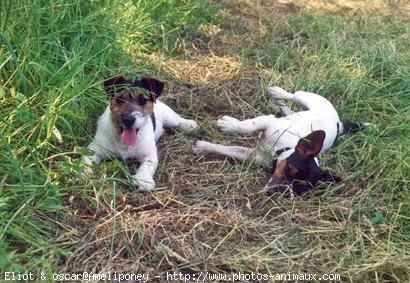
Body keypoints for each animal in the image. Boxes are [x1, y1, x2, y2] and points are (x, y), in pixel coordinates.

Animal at [195, 86, 362, 197]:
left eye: (299, 187)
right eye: (288, 169)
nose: (272, 193)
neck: (281, 149)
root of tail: (339, 123)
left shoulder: (253, 156)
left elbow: (228, 149)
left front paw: (203, 146)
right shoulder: (268, 122)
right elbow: (246, 126)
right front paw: (228, 125)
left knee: (290, 110)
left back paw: (276, 103)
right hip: (307, 98)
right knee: (293, 96)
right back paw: (276, 93)